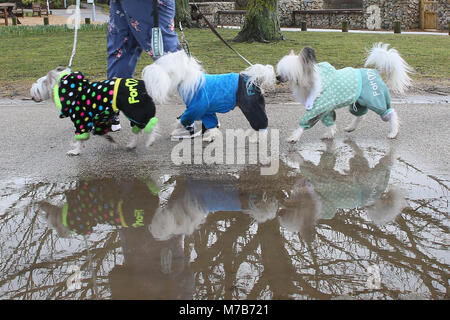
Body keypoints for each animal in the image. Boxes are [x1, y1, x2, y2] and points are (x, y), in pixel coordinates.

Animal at [142, 50, 274, 142]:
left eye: (165, 69)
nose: (149, 69)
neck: (188, 79)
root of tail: (255, 81)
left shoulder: (196, 108)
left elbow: (184, 118)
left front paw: (178, 128)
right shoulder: (207, 112)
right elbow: (212, 125)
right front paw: (210, 137)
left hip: (252, 108)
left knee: (262, 126)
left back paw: (256, 139)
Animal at [276, 42, 414, 142]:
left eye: (287, 71)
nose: (277, 77)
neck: (310, 80)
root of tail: (376, 71)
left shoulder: (319, 106)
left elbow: (305, 122)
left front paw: (294, 137)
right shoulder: (325, 108)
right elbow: (329, 122)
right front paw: (329, 133)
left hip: (376, 99)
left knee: (390, 113)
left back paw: (393, 132)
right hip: (359, 103)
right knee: (361, 115)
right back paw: (351, 128)